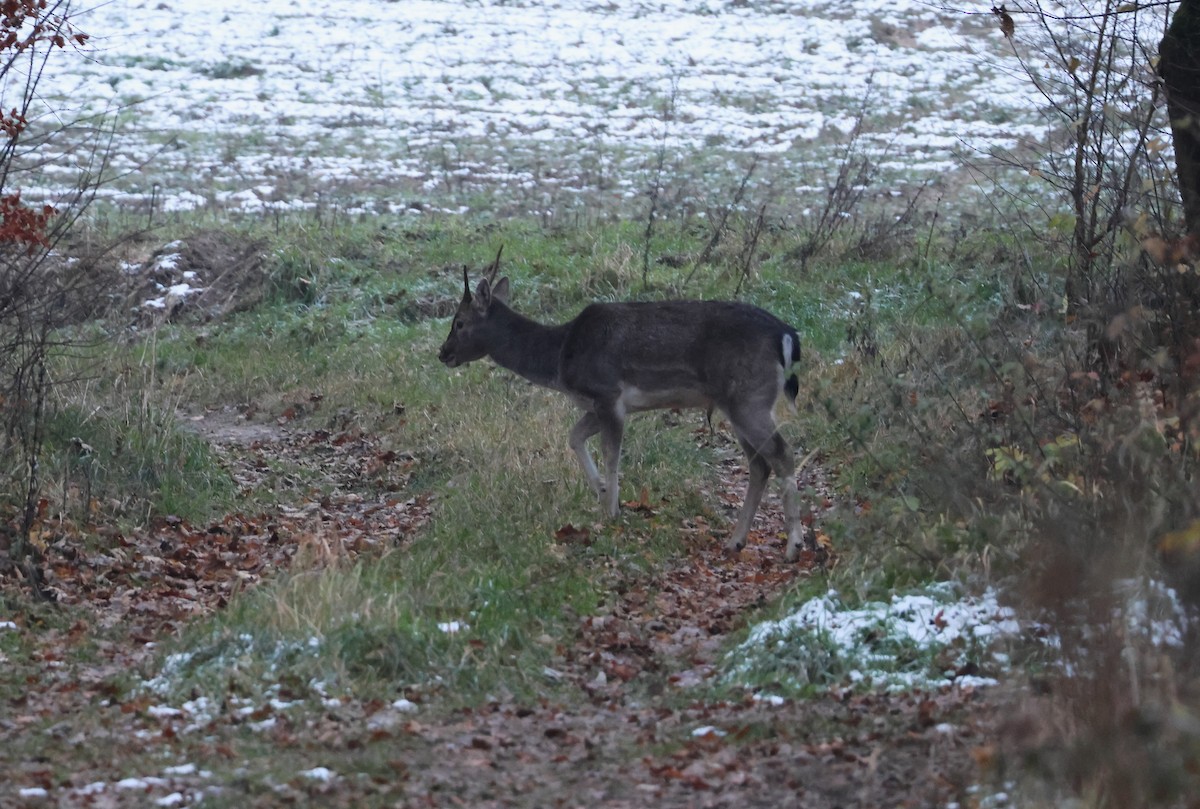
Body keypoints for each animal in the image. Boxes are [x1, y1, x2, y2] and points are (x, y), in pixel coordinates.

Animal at [438, 247, 811, 561]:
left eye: (459, 321)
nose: (443, 353)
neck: (560, 358)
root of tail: (786, 335)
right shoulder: (595, 405)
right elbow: (574, 437)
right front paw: (602, 492)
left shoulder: (608, 395)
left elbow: (611, 455)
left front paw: (612, 512)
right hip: (738, 403)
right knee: (760, 463)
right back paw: (736, 540)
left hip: (750, 397)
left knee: (782, 453)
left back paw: (794, 544)